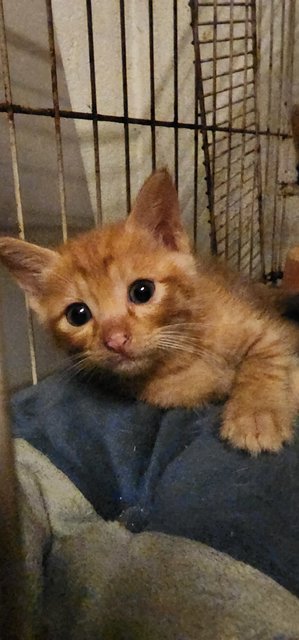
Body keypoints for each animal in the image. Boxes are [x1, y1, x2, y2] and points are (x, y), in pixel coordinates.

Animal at [0, 168, 299, 452]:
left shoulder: (271, 330)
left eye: (142, 291)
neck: (183, 353)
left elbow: (264, 360)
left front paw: (256, 416)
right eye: (78, 315)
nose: (115, 340)